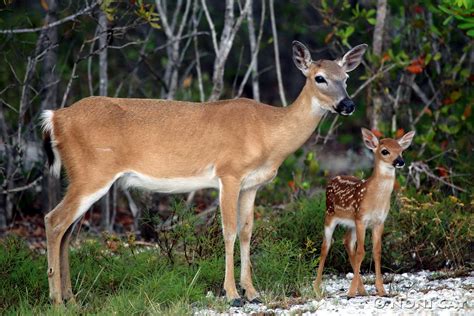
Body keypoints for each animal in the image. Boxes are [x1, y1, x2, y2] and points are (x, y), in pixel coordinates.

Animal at [41, 40, 366, 304]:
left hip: (83, 177)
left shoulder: (252, 184)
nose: (348, 104)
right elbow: (229, 231)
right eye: (319, 78)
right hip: (92, 173)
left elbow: (247, 232)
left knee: (67, 231)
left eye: (346, 77)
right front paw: (232, 294)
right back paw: (56, 300)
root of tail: (55, 118)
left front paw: (253, 292)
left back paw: (71, 298)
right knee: (53, 220)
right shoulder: (229, 173)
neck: (268, 132)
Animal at [314, 128, 414, 296]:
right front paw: (350, 292)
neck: (374, 199)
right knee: (326, 246)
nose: (400, 161)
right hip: (329, 215)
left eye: (401, 151)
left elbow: (377, 251)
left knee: (347, 242)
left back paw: (362, 289)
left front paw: (381, 290)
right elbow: (361, 252)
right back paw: (317, 288)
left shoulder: (379, 221)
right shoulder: (361, 218)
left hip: (351, 223)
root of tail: (332, 179)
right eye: (385, 151)